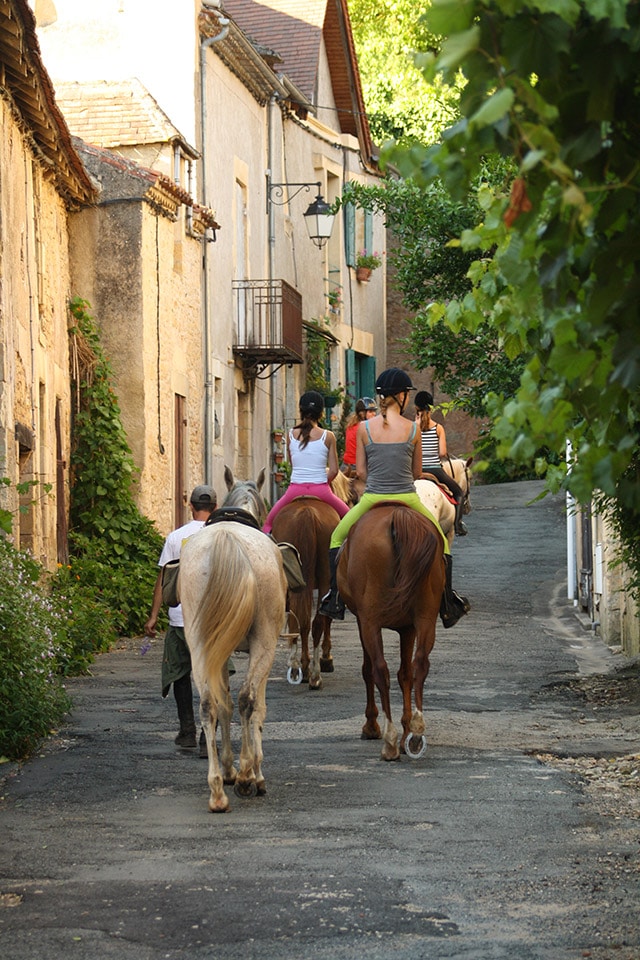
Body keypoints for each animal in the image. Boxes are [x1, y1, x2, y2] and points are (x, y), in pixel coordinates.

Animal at [179, 468, 286, 812]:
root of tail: (227, 540)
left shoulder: (219, 650)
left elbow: (223, 704)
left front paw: (229, 769)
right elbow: (257, 708)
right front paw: (252, 772)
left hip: (200, 644)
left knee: (209, 704)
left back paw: (217, 790)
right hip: (264, 641)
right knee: (247, 698)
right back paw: (246, 777)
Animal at [340, 506, 444, 760]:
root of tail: (398, 516)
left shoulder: (363, 621)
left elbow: (368, 670)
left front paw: (371, 726)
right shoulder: (408, 628)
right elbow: (405, 674)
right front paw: (407, 729)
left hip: (370, 621)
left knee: (379, 669)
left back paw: (389, 741)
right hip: (426, 617)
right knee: (420, 664)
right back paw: (416, 733)